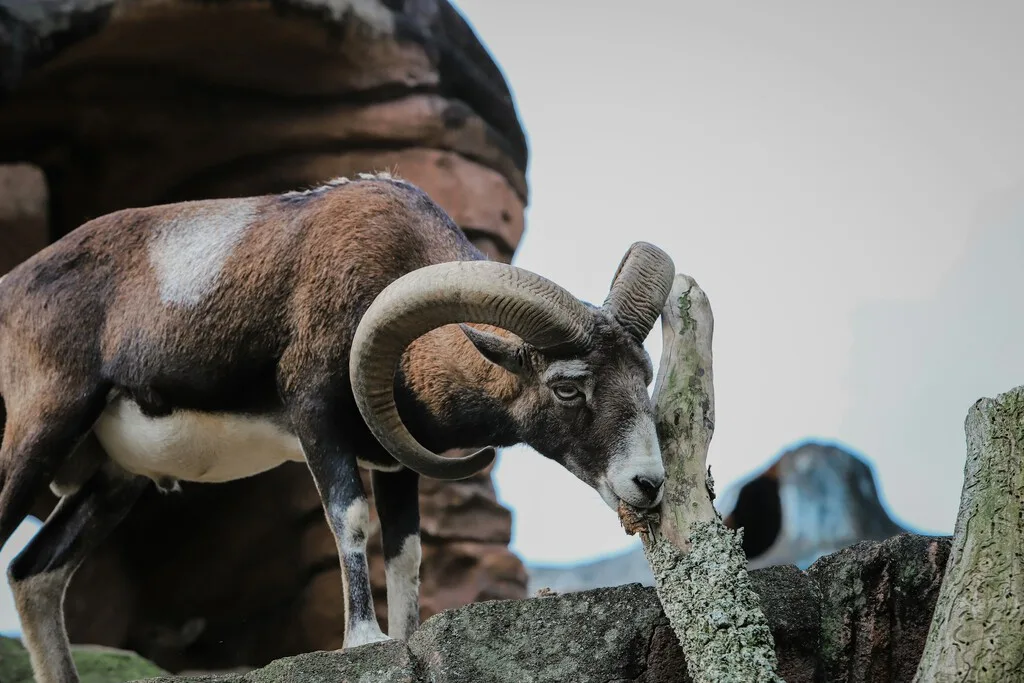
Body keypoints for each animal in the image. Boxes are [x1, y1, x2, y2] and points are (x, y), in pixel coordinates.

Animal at [0, 172, 675, 683]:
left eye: (643, 375)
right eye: (567, 387)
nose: (647, 484)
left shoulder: (399, 464)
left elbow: (405, 552)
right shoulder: (317, 423)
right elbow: (349, 519)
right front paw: (363, 640)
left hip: (114, 483)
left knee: (33, 574)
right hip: (40, 433)